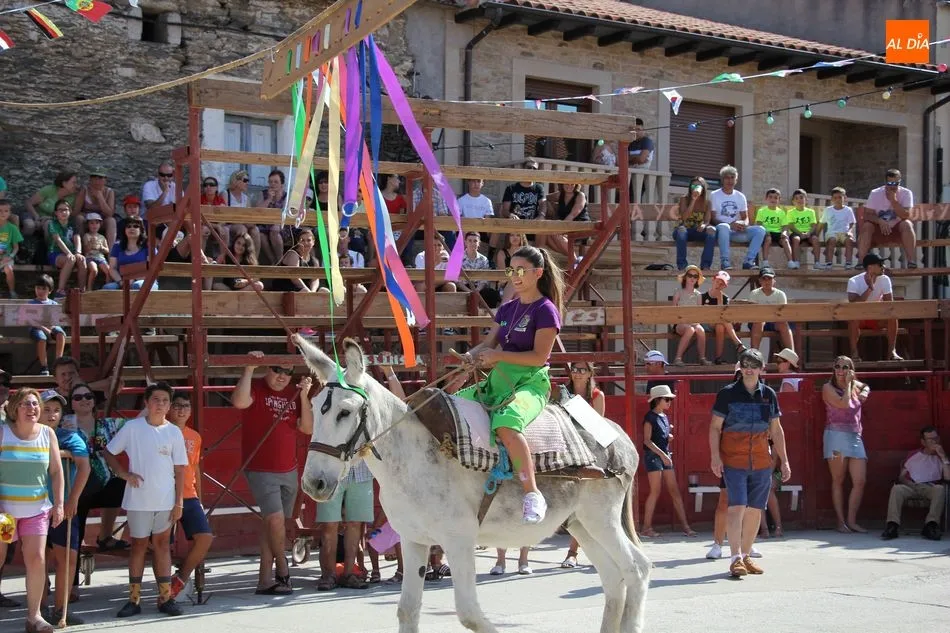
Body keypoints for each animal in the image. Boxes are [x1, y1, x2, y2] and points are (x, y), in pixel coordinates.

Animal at [293, 334, 651, 633]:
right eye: (314, 408)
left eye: (344, 412)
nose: (313, 483)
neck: (411, 457)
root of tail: (618, 435)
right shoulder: (413, 540)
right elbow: (407, 610)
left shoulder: (459, 541)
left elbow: (470, 614)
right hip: (580, 524)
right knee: (613, 577)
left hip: (601, 517)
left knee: (636, 568)